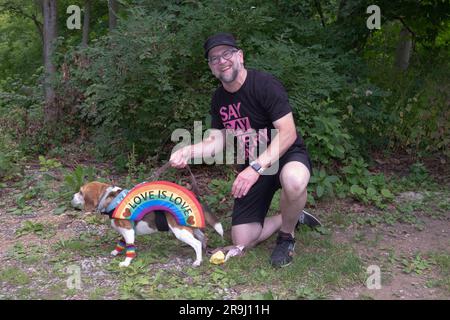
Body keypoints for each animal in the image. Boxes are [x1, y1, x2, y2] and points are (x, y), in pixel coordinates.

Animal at [71, 181, 223, 266]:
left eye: (81, 192)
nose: (72, 197)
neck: (110, 198)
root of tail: (195, 197)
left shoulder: (128, 231)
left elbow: (130, 249)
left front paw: (126, 263)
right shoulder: (126, 231)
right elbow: (122, 243)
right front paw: (116, 251)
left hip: (180, 231)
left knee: (196, 243)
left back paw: (198, 261)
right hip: (190, 228)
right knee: (203, 238)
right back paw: (204, 251)